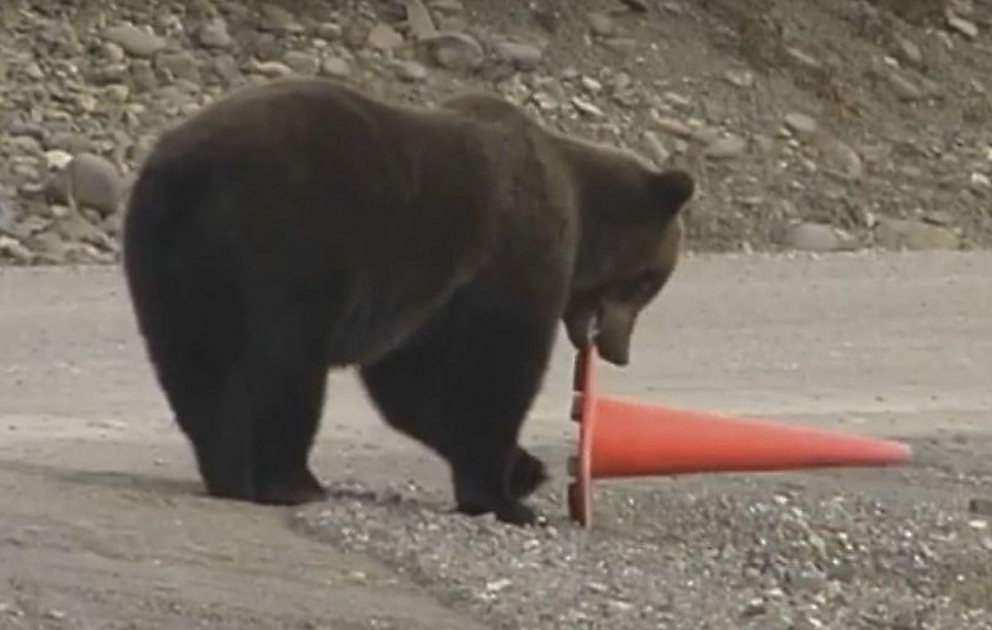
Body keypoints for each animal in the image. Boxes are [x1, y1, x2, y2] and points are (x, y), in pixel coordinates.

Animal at [120, 77, 694, 526]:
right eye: (651, 282)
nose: (619, 351)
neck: (584, 214)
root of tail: (186, 170)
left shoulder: (427, 302)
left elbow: (414, 389)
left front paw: (526, 471)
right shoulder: (510, 256)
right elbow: (495, 369)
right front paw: (507, 498)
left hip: (163, 266)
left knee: (192, 371)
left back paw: (227, 471)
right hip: (285, 242)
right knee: (284, 366)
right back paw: (291, 480)